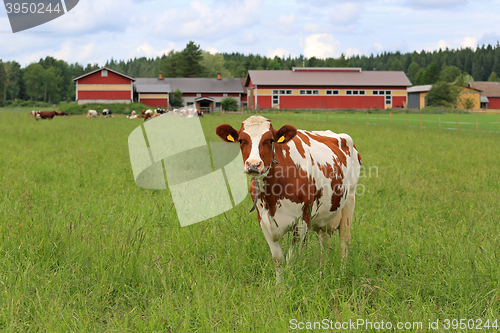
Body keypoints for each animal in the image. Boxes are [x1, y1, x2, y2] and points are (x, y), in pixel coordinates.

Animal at [217, 115, 362, 282]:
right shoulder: (264, 222)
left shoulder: (302, 221)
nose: (253, 165)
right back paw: (322, 271)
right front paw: (280, 286)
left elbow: (292, 259)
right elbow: (278, 259)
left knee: (345, 240)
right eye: (241, 140)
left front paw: (291, 283)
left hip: (350, 200)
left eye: (270, 140)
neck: (272, 196)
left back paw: (342, 273)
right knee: (324, 242)